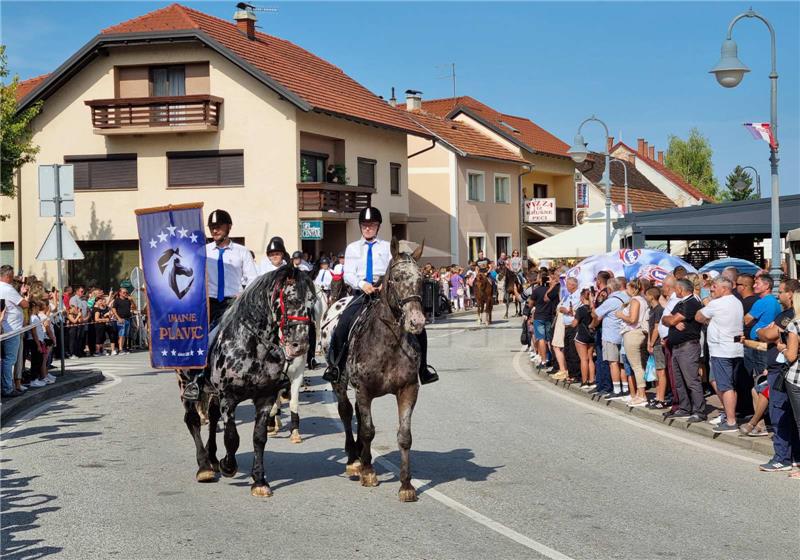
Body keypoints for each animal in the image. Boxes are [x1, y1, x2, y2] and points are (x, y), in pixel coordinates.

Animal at [181, 264, 316, 496]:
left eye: (312, 302)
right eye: (291, 300)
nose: (300, 345)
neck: (252, 346)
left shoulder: (265, 398)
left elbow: (259, 437)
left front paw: (259, 481)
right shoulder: (228, 398)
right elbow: (232, 437)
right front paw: (228, 466)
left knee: (213, 418)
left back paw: (212, 457)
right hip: (186, 384)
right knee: (193, 421)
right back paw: (204, 467)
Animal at [268, 286, 328, 444]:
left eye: (307, 308)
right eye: (288, 304)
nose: (300, 344)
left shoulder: (297, 375)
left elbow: (293, 403)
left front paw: (295, 433)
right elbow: (272, 404)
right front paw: (270, 427)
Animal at [322, 238, 428, 500]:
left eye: (421, 278)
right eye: (397, 278)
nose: (417, 322)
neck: (388, 343)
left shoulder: (408, 389)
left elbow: (404, 436)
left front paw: (406, 485)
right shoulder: (364, 390)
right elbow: (368, 430)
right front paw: (368, 472)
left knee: (359, 417)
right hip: (339, 382)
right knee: (346, 412)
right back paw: (354, 459)